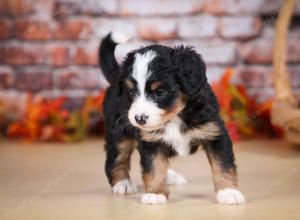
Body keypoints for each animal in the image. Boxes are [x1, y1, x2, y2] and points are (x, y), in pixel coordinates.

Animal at [99, 32, 245, 205]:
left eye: (160, 92)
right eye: (132, 92)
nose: (139, 118)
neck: (175, 117)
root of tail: (116, 76)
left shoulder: (215, 133)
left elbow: (223, 165)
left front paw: (229, 192)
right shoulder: (150, 141)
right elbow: (154, 167)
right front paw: (155, 193)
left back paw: (170, 177)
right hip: (119, 134)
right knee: (116, 158)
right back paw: (123, 183)